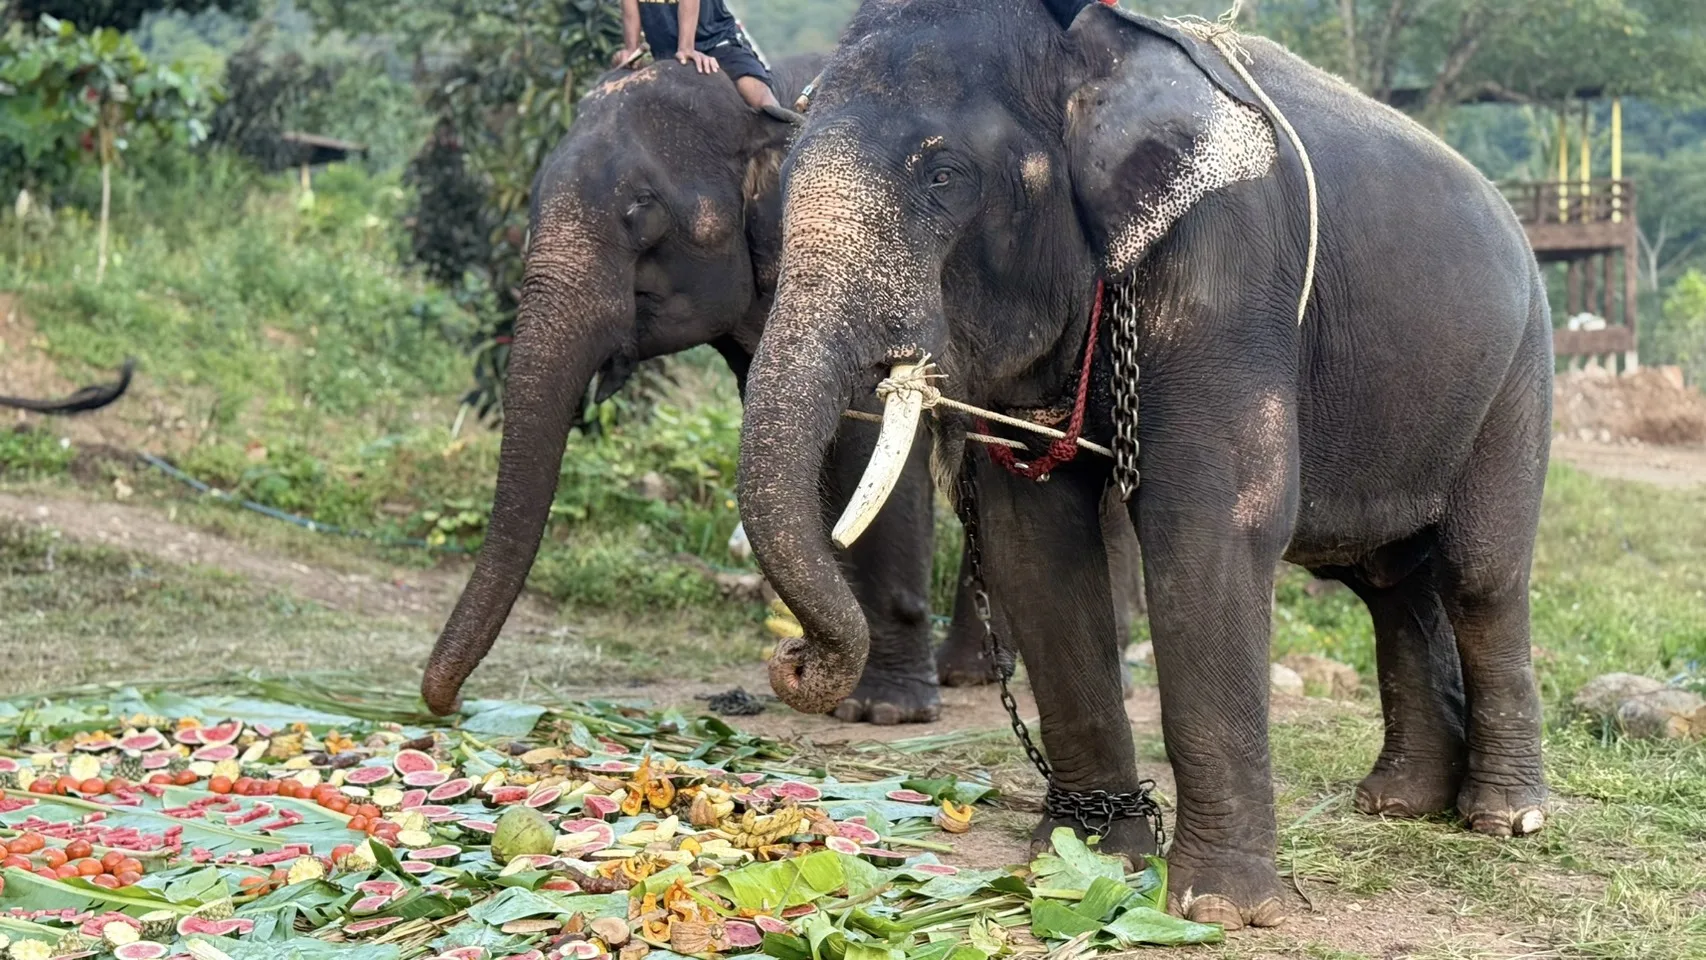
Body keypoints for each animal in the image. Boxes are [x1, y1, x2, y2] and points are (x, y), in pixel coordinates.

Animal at [734, 0, 1551, 930]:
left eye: (943, 174)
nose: (791, 660)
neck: (1096, 45)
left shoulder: (1228, 272)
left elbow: (1210, 524)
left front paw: (1219, 908)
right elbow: (1034, 542)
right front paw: (1082, 856)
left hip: (1519, 373)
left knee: (1478, 575)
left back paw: (1503, 817)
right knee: (1386, 579)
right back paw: (1399, 802)